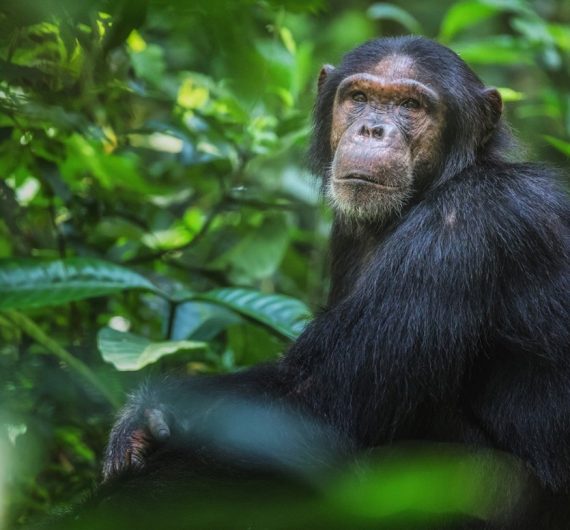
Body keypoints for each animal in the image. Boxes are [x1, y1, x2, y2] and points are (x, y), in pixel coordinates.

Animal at [100, 36, 564, 524]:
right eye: (358, 97)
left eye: (411, 105)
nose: (372, 130)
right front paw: (145, 414)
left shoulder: (465, 227)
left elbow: (310, 406)